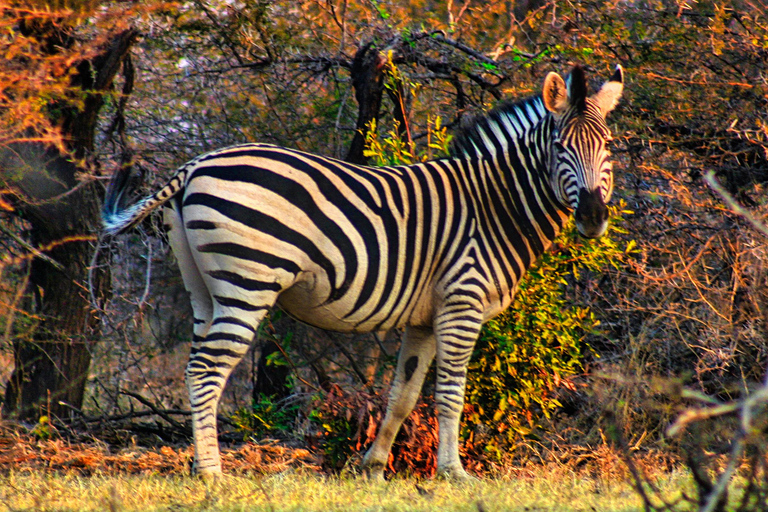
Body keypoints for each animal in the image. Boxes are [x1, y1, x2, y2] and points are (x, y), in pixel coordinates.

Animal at [103, 64, 624, 480]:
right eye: (559, 147)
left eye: (608, 147)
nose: (594, 217)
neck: (495, 204)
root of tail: (193, 165)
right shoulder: (462, 302)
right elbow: (451, 393)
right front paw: (453, 473)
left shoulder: (424, 318)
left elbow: (404, 395)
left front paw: (372, 467)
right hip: (247, 282)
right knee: (206, 370)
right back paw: (212, 473)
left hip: (203, 289)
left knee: (195, 364)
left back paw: (198, 462)